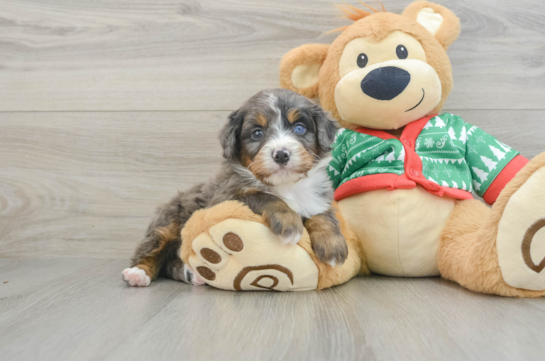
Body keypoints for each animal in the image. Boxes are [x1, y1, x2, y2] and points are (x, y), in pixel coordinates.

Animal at [122, 88, 348, 286]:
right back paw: (138, 273)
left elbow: (322, 216)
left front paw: (332, 245)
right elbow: (266, 197)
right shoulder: (226, 197)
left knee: (169, 264)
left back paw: (192, 274)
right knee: (151, 250)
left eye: (299, 128)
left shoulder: (317, 198)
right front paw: (289, 222)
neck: (286, 185)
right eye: (257, 133)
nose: (281, 154)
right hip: (168, 220)